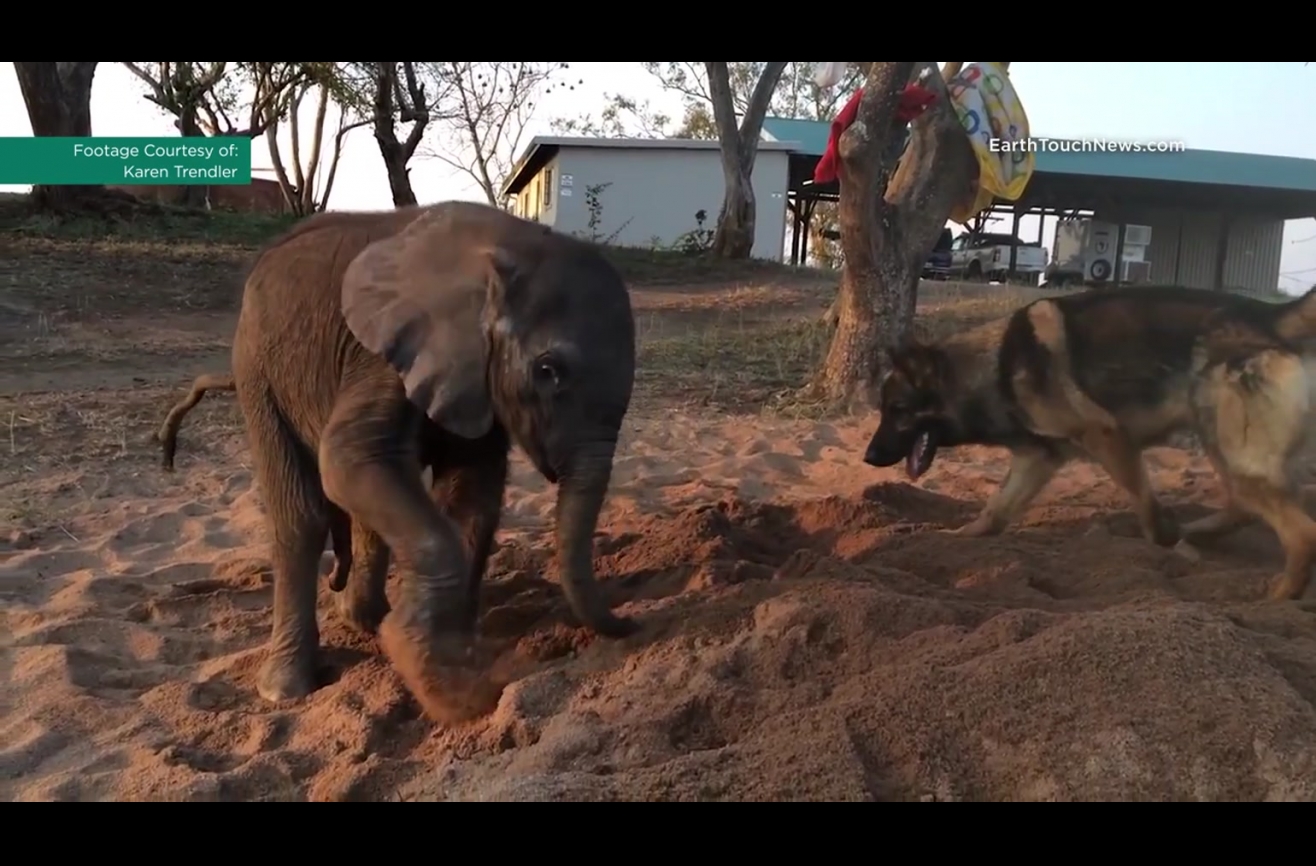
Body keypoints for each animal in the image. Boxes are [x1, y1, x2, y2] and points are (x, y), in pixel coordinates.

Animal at [228, 200, 637, 724]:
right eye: (548, 371)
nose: (629, 622)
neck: (508, 245)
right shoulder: (381, 350)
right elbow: (346, 460)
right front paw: (449, 690)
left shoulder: (472, 373)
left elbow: (474, 485)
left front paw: (449, 658)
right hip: (257, 372)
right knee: (301, 517)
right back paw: (288, 689)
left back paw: (364, 619)